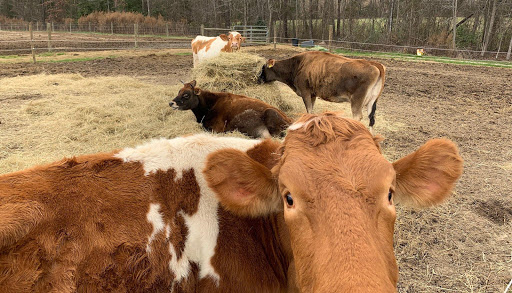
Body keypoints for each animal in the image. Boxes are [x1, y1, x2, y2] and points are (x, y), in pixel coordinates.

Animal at [258, 50, 386, 132]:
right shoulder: (313, 94)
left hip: (357, 100)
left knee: (358, 117)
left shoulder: (305, 92)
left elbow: (309, 112)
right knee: (371, 119)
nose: (257, 80)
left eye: (262, 68)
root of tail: (374, 63)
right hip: (372, 101)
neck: (297, 65)